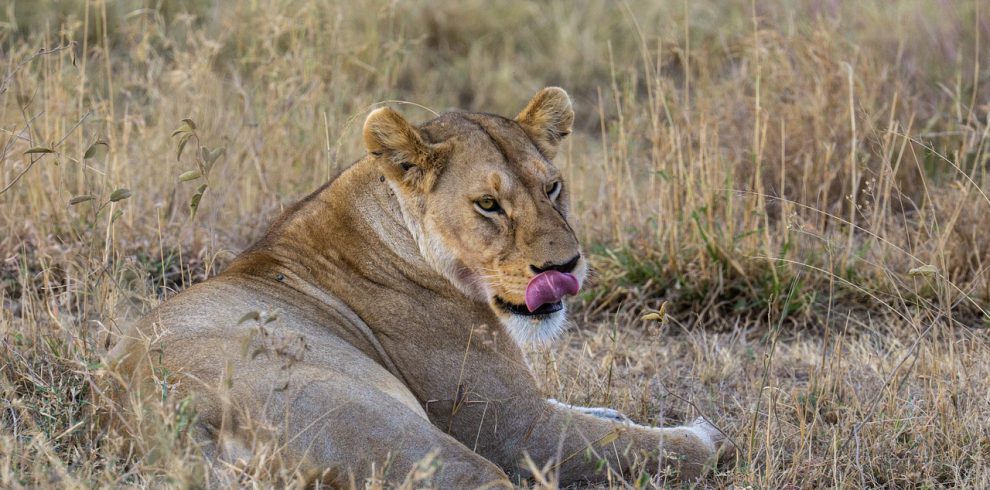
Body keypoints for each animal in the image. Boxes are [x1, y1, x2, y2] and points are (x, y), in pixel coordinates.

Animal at [110, 87, 736, 486]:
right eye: (488, 205)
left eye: (553, 187)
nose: (566, 265)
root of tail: (174, 432)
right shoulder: (518, 430)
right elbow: (640, 448)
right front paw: (707, 434)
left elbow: (598, 416)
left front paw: (617, 413)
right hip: (401, 434)